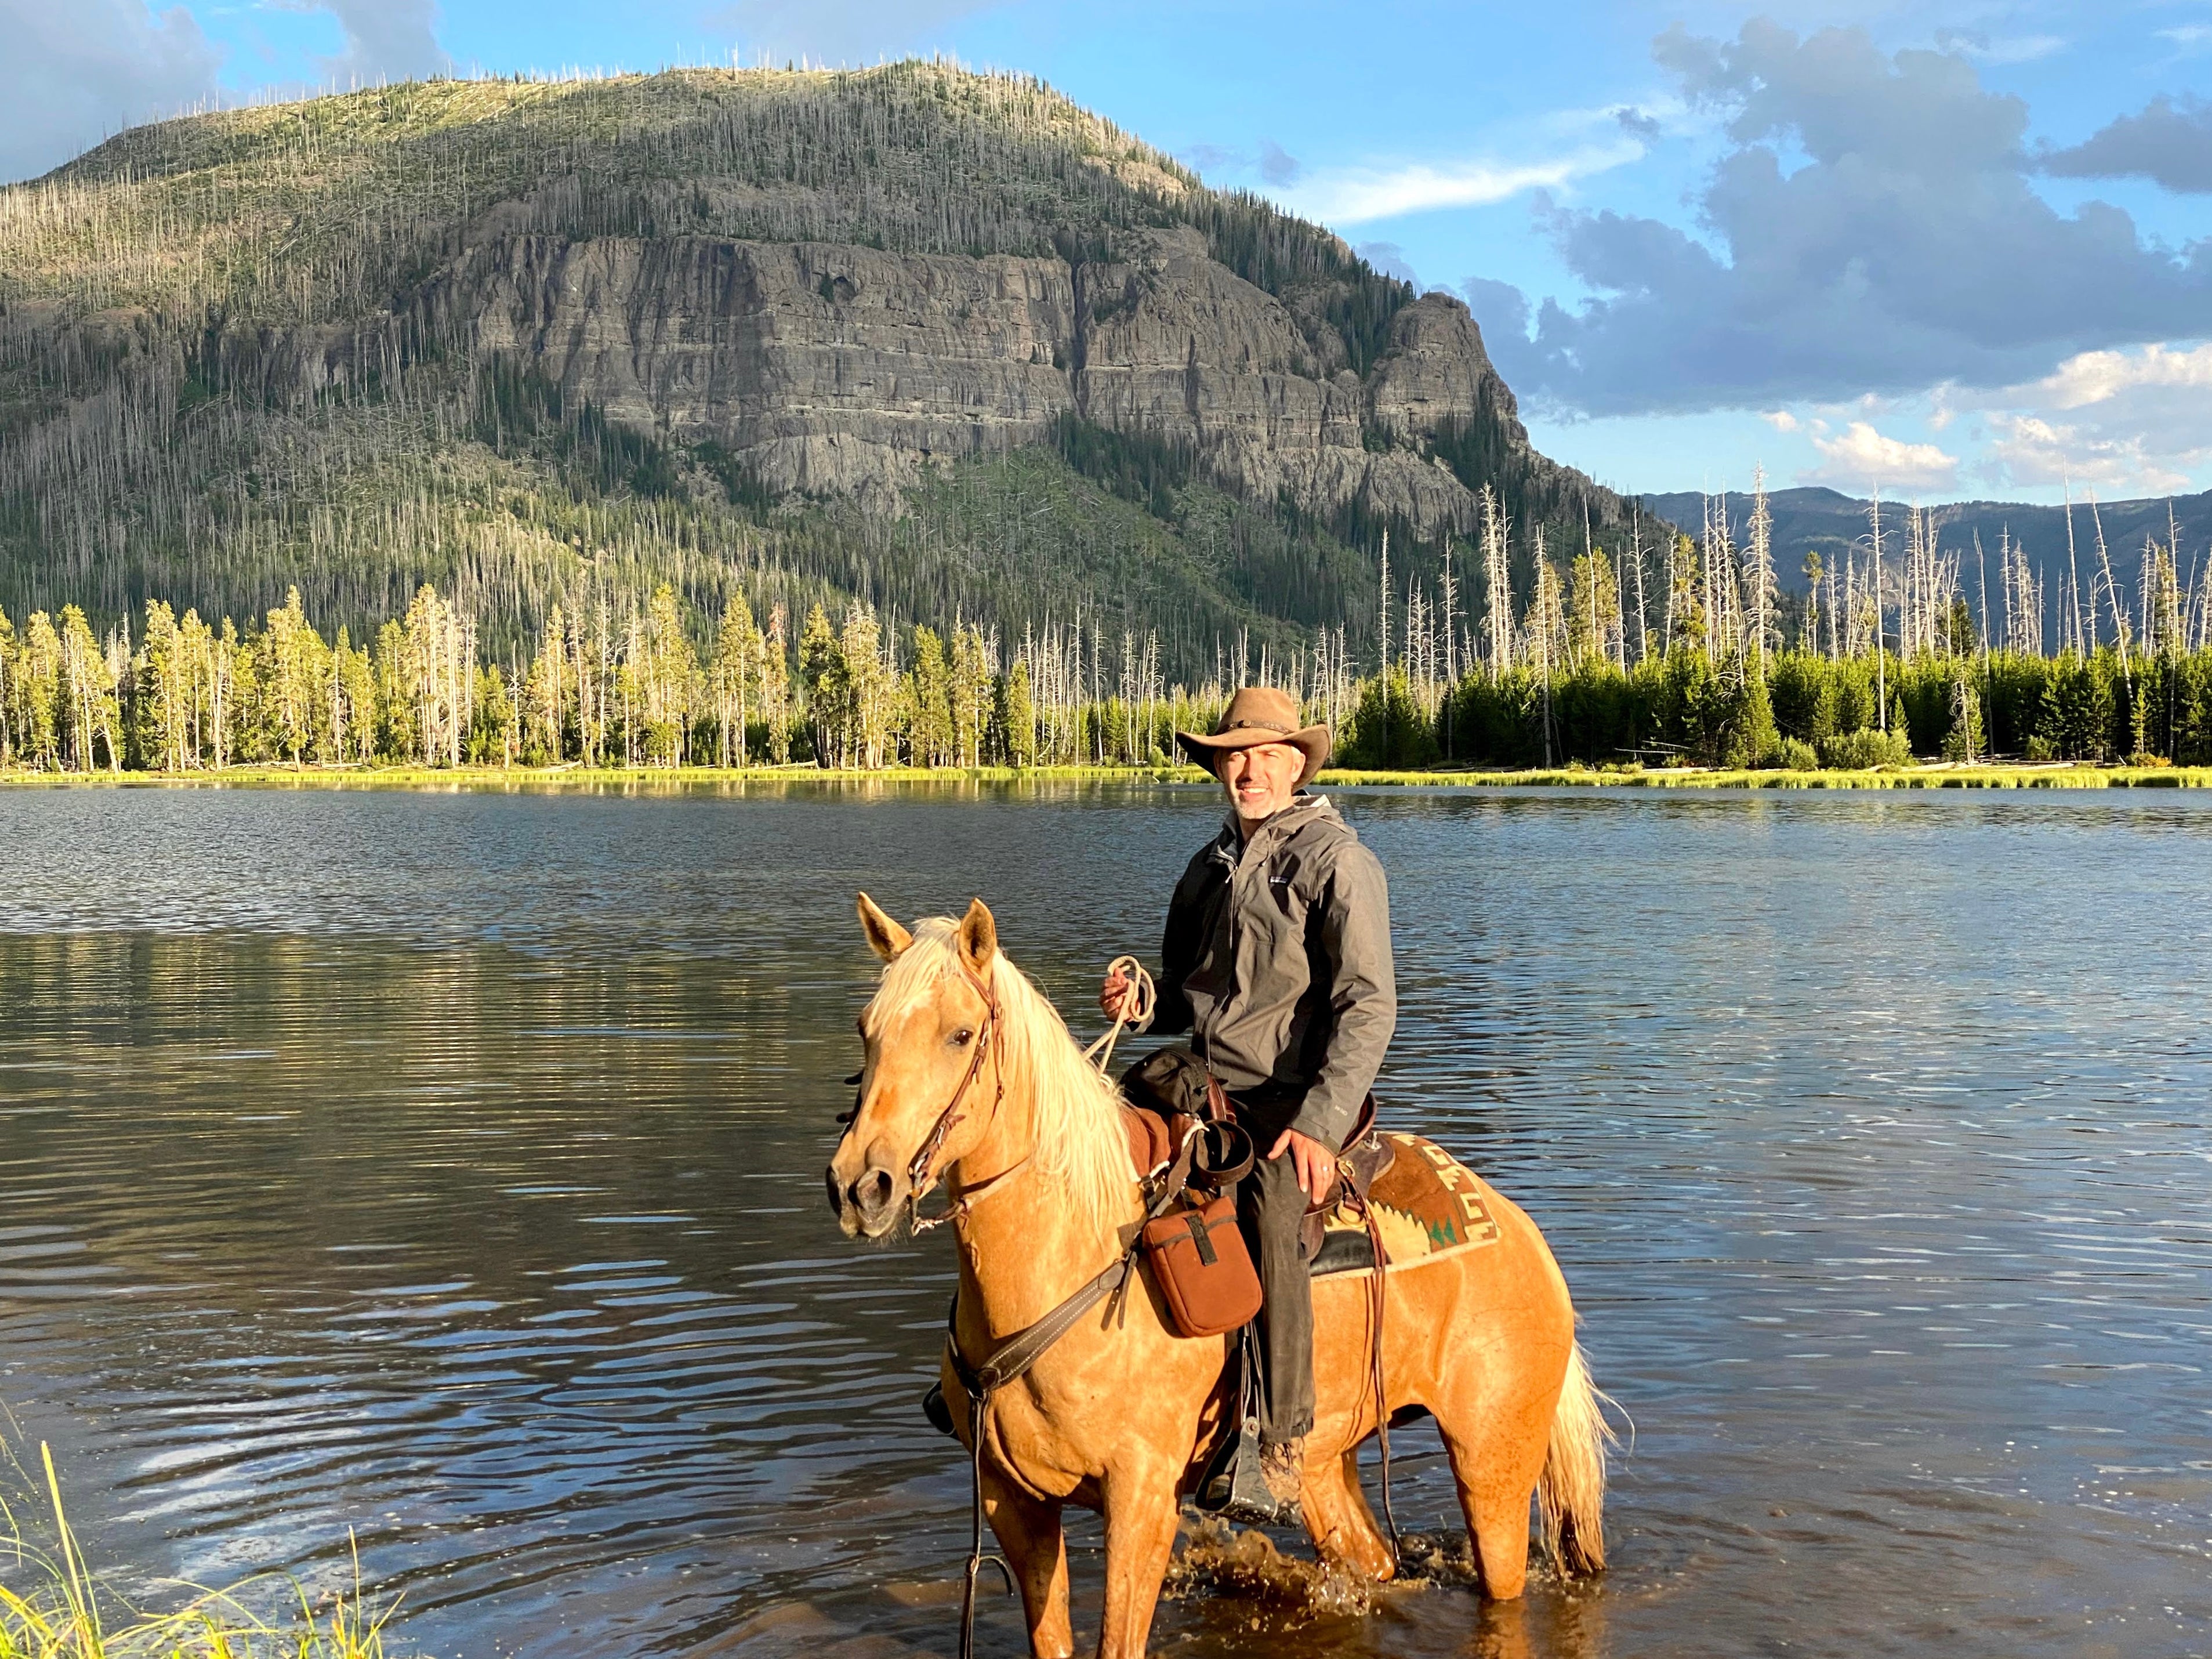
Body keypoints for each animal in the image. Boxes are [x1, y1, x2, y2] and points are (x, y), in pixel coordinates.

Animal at [832, 898, 1610, 1659]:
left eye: (961, 1034)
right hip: (1325, 1465)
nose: (861, 1185)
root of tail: (1513, 1225)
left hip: (1492, 1466)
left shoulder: (1141, 1500)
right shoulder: (1012, 1502)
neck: (1069, 1257)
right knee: (1373, 1560)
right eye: (866, 1029)